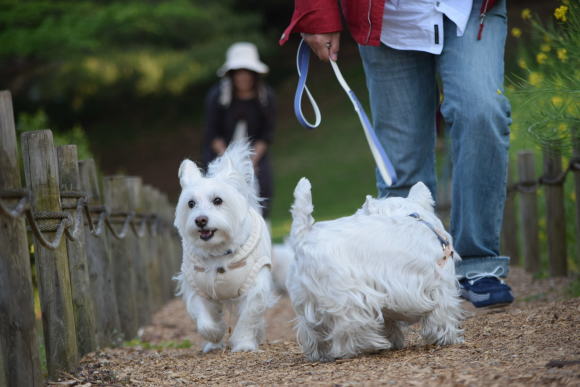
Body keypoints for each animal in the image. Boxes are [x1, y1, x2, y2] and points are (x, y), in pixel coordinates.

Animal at [172, 141, 276, 354]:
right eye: (191, 203)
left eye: (218, 200)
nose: (200, 220)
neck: (217, 252)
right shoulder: (197, 288)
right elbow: (204, 318)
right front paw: (214, 335)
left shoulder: (255, 285)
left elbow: (248, 317)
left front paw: (244, 344)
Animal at [286, 177, 462, 362]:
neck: (413, 215)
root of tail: (303, 238)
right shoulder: (441, 285)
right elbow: (442, 314)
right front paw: (448, 338)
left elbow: (388, 321)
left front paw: (394, 338)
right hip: (349, 299)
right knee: (348, 330)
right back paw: (368, 346)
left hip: (308, 302)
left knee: (312, 332)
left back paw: (320, 354)